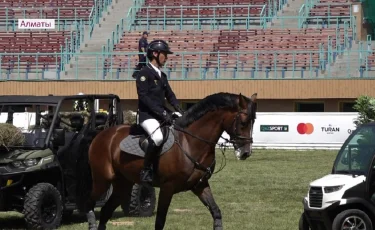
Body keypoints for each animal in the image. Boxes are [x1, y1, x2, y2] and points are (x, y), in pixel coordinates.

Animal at [82, 92, 258, 230]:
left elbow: (216, 212)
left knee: (106, 211)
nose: (245, 153)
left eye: (253, 122)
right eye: (243, 122)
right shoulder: (168, 187)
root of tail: (102, 134)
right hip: (102, 180)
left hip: (123, 184)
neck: (190, 142)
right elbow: (160, 221)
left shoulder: (200, 185)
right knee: (89, 202)